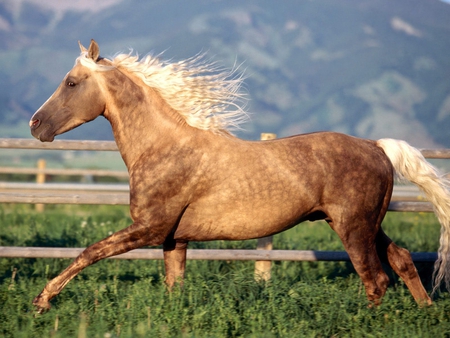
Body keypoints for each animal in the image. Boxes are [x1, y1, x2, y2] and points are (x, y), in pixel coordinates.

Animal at [29, 39, 450, 312]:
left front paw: (43, 300)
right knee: (402, 260)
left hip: (353, 227)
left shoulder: (149, 228)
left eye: (71, 82)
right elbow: (173, 286)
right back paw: (427, 311)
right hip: (363, 224)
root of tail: (376, 145)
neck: (162, 148)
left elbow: (90, 252)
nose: (35, 125)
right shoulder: (173, 239)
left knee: (375, 280)